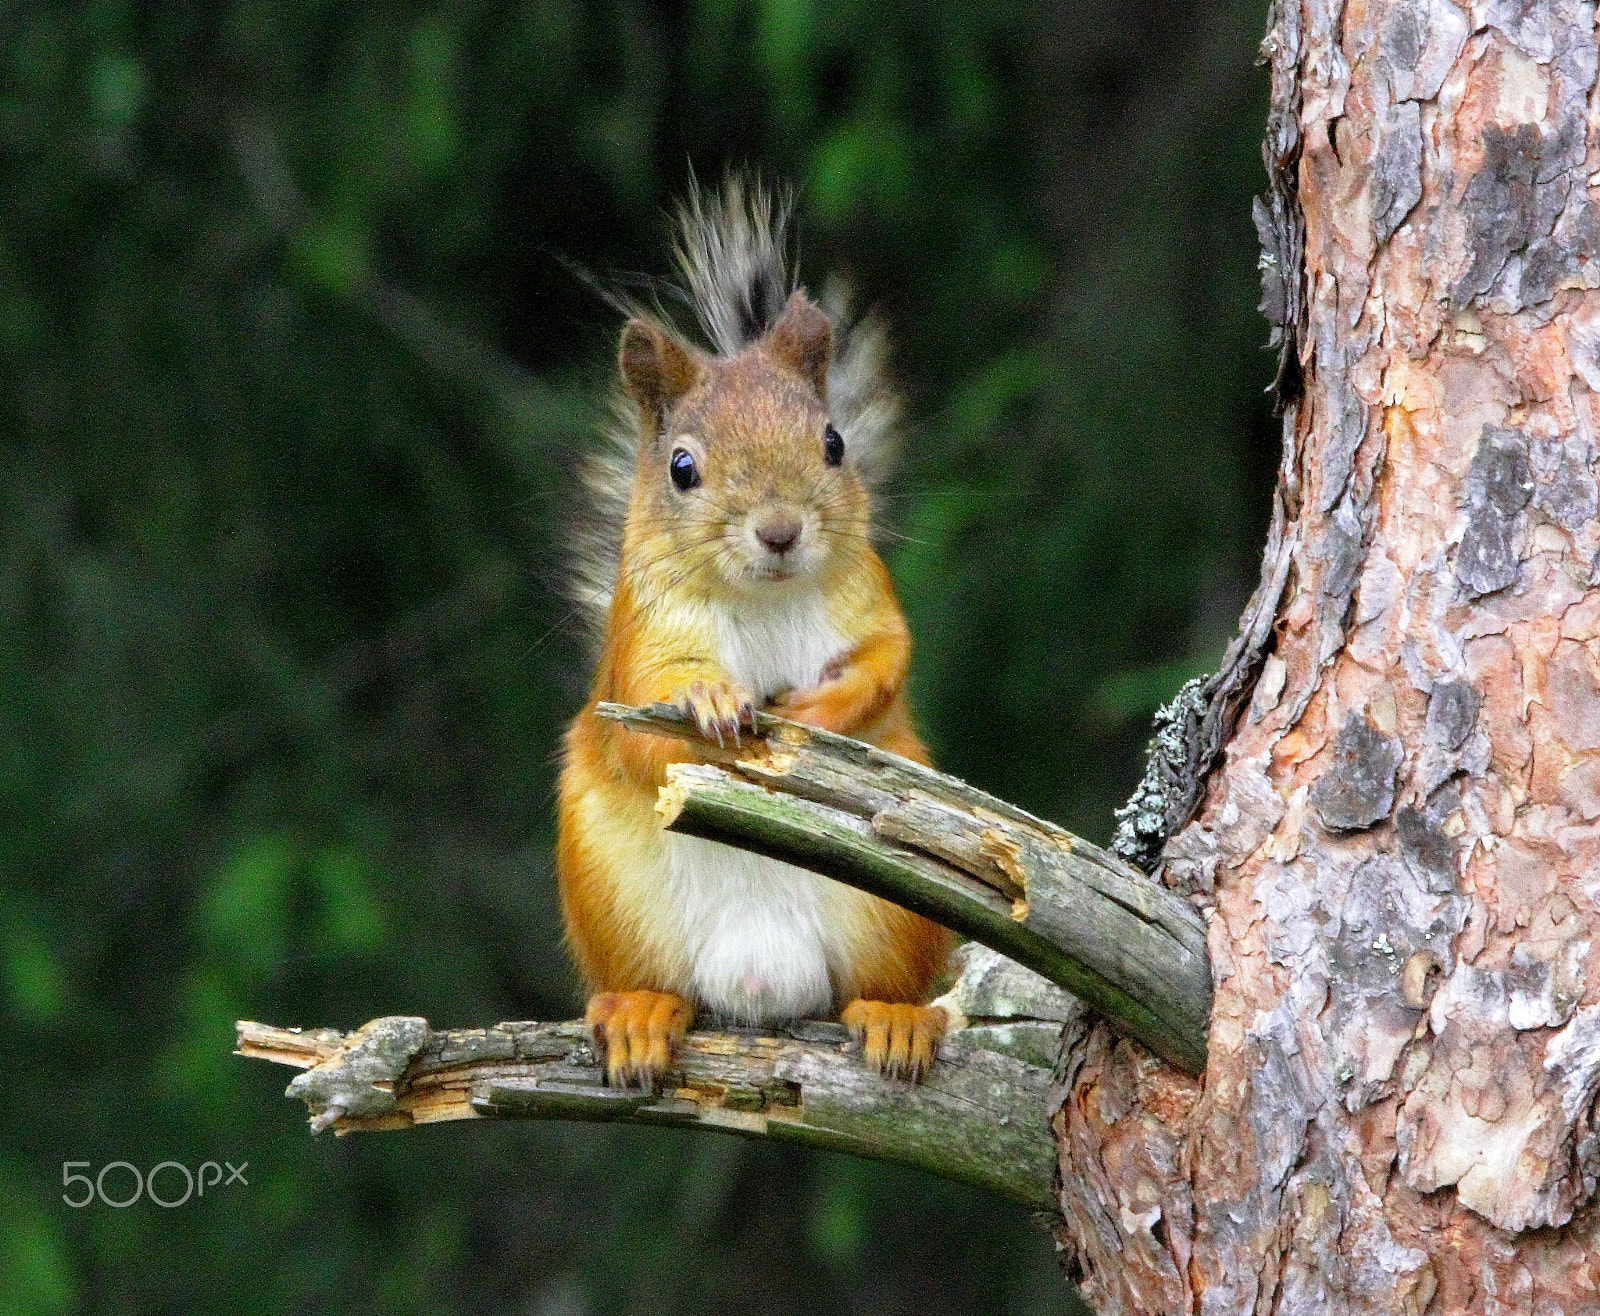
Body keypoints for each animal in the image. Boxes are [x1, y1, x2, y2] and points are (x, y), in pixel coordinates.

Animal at [556, 176, 953, 1088]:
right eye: (681, 467)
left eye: (834, 443)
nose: (779, 531)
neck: (765, 597)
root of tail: (763, 987)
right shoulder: (643, 638)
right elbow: (646, 724)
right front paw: (708, 700)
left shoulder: (869, 599)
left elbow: (887, 662)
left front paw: (819, 713)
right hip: (606, 887)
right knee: (652, 984)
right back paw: (639, 1014)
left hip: (894, 911)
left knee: (874, 988)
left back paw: (895, 1019)